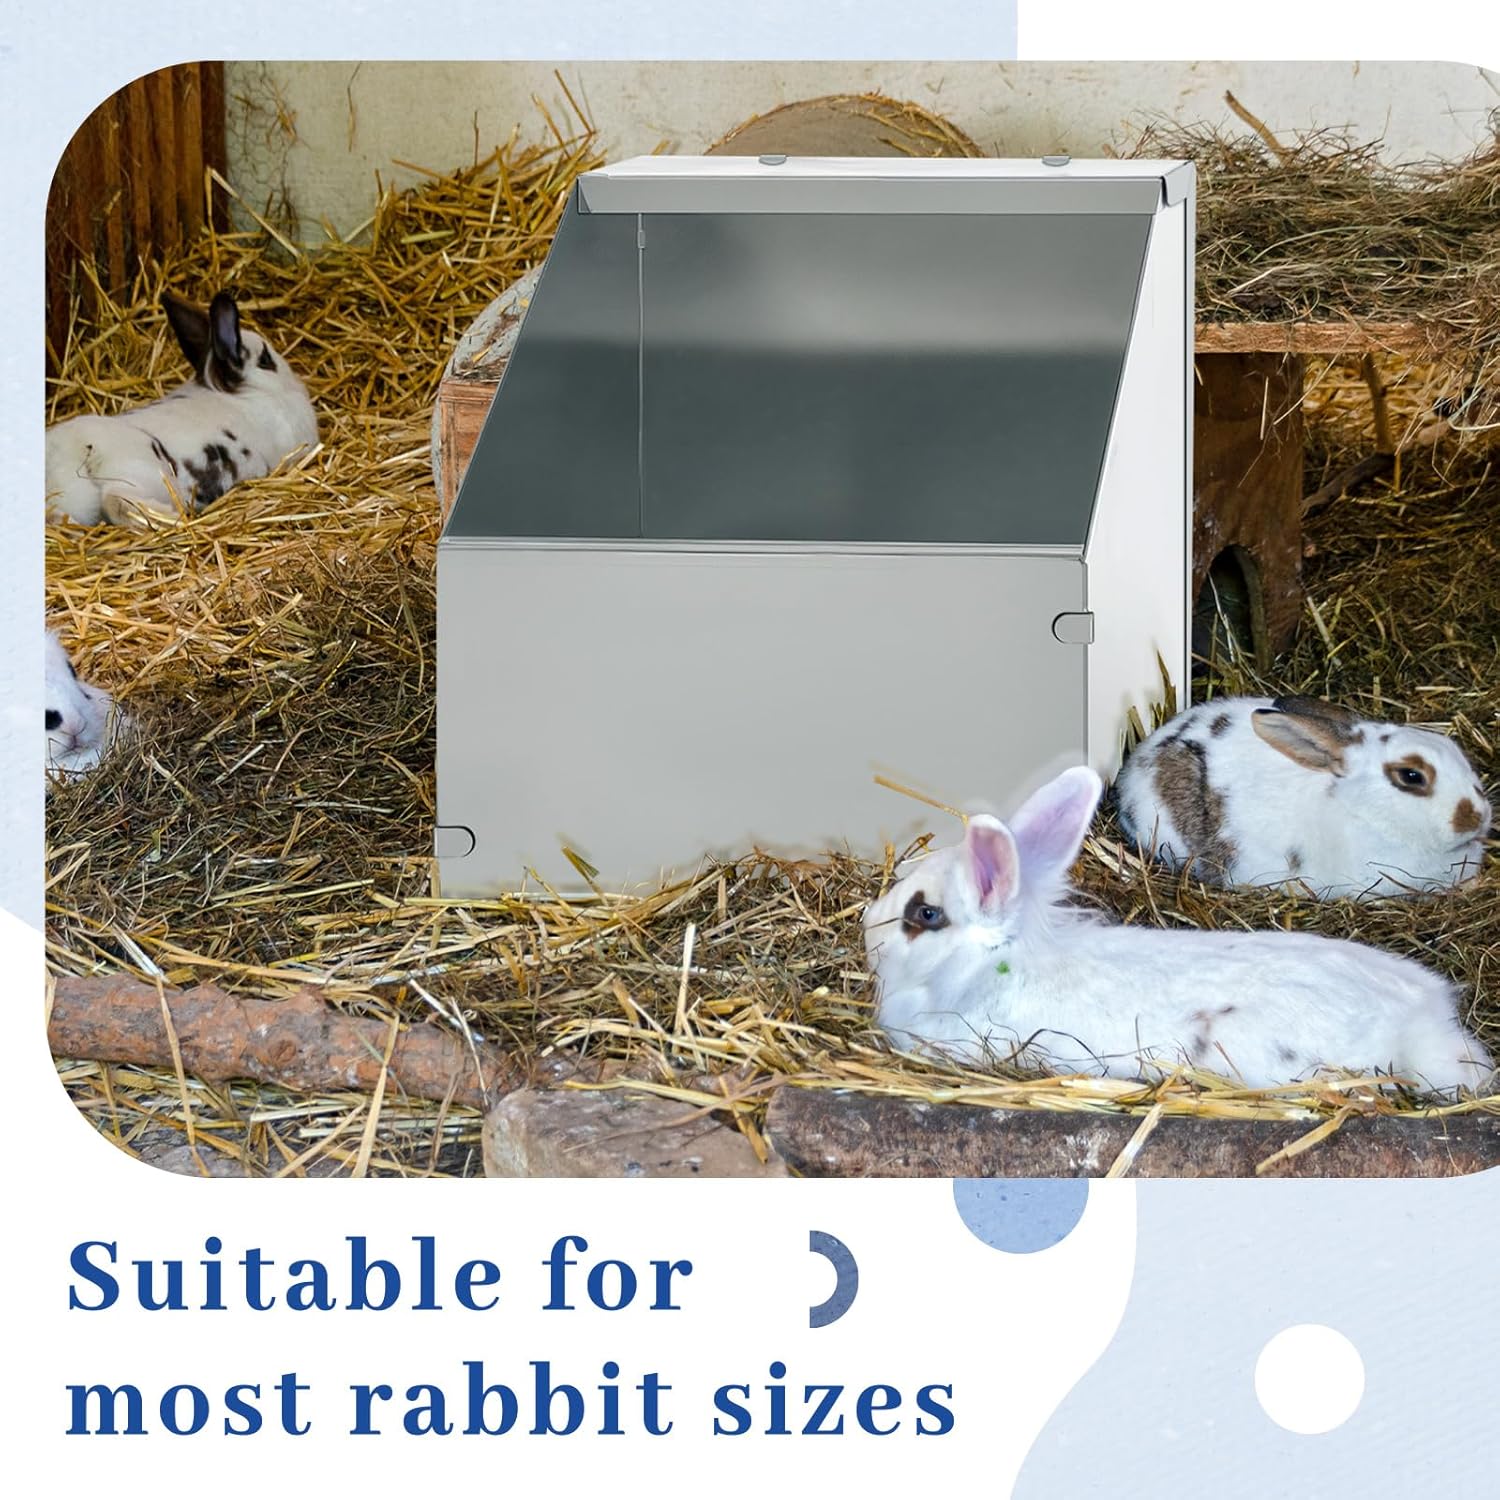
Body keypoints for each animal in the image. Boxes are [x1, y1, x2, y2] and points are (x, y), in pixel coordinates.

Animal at [45, 289, 318, 527]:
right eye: (265, 360)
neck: (245, 395)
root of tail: (62, 461)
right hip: (148, 472)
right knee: (116, 499)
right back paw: (172, 517)